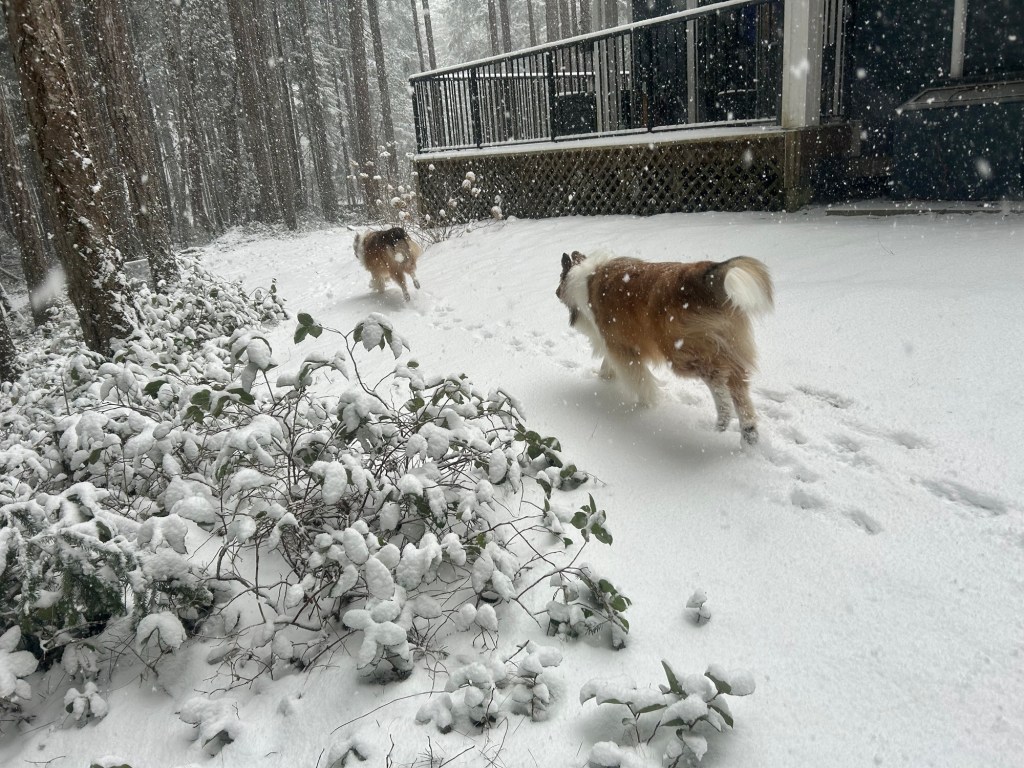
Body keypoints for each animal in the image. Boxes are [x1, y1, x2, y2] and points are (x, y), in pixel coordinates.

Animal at [556, 250, 773, 445]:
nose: (556, 292)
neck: (585, 277)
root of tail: (707, 276)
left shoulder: (621, 348)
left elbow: (639, 380)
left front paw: (645, 405)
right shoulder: (618, 344)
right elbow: (608, 364)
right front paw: (604, 378)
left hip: (680, 350)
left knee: (717, 375)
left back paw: (724, 414)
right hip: (727, 343)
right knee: (738, 382)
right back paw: (749, 433)